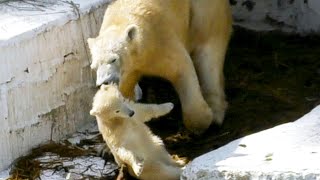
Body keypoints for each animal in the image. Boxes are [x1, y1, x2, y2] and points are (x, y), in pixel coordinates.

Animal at [88, 0, 232, 134]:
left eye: (113, 59)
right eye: (94, 66)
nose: (104, 81)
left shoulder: (162, 41)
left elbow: (181, 71)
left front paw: (200, 122)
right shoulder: (129, 71)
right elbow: (124, 93)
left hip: (203, 8)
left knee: (209, 45)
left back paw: (216, 114)